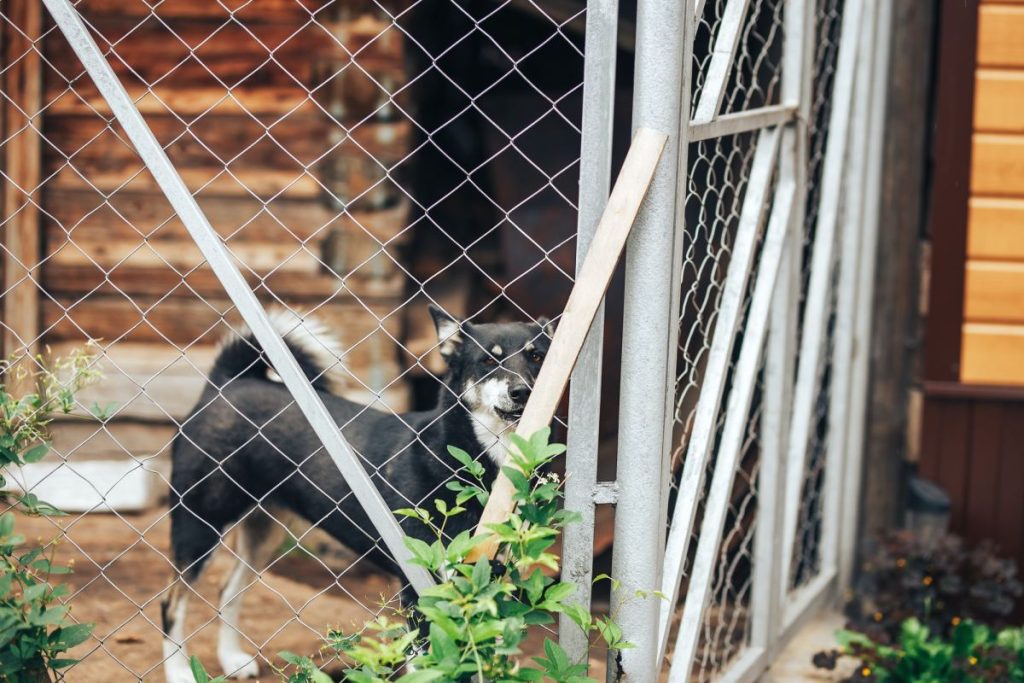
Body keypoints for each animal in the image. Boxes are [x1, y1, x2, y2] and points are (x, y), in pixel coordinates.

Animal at [159, 305, 552, 683]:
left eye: (536, 356)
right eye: (488, 360)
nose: (523, 392)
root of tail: (225, 384)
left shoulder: (491, 583)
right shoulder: (419, 585)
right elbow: (429, 663)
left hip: (262, 531)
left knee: (228, 591)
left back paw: (231, 659)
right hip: (199, 524)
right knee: (172, 603)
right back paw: (178, 672)